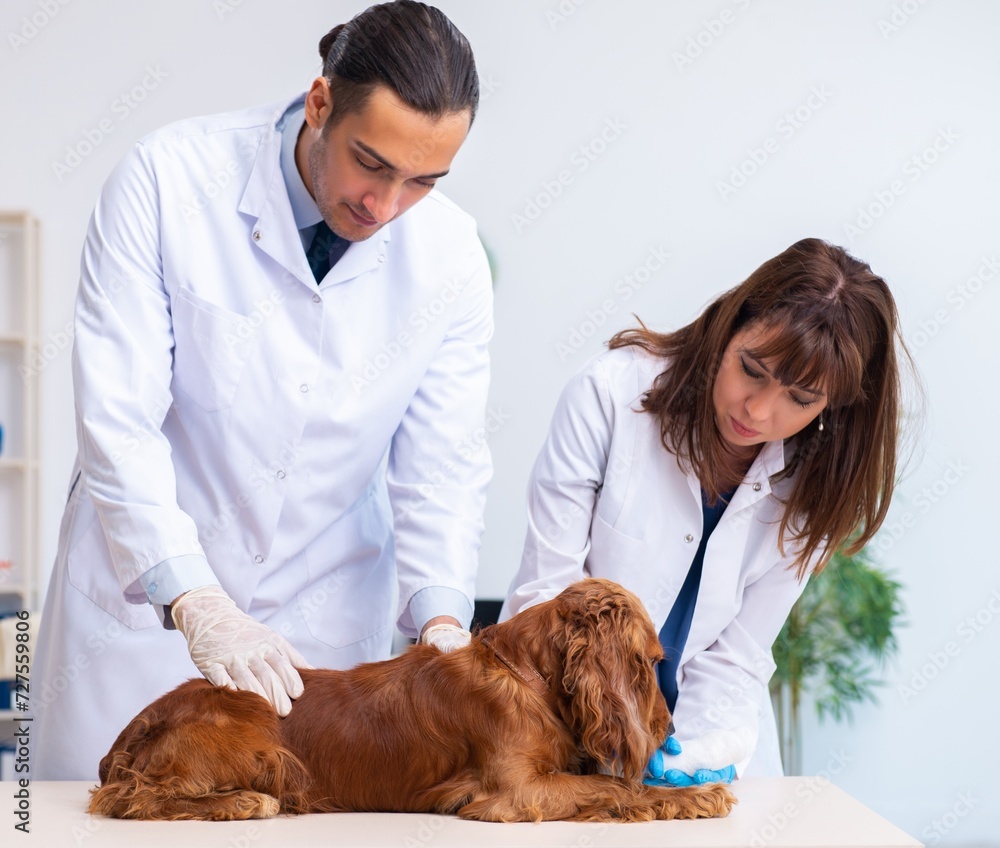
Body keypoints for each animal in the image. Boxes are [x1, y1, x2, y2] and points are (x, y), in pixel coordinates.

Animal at [88, 576, 736, 820]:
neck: (526, 678)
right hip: (257, 750)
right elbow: (616, 788)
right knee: (131, 797)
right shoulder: (513, 794)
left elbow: (615, 785)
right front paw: (698, 794)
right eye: (652, 661)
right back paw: (242, 802)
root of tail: (137, 723)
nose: (668, 730)